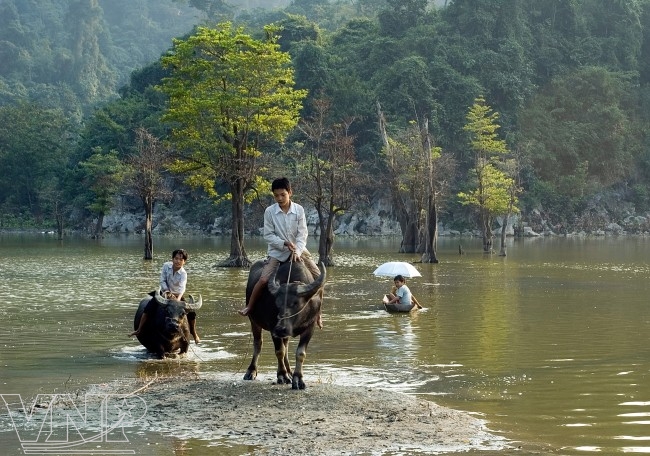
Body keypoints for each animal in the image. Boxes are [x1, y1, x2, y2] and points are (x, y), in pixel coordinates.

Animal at [242, 260, 324, 388]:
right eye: (277, 303)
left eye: (295, 303)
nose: (281, 329)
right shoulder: (273, 328)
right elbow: (279, 351)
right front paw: (282, 375)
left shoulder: (310, 327)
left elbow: (300, 353)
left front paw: (297, 378)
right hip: (254, 321)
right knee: (258, 344)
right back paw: (251, 371)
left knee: (286, 346)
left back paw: (290, 372)